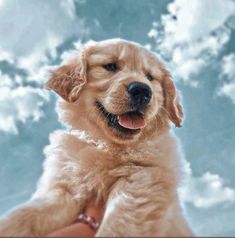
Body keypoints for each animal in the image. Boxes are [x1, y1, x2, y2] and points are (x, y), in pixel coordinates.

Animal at [0, 39, 194, 236]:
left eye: (150, 77)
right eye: (110, 66)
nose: (142, 90)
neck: (107, 145)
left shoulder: (143, 180)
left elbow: (118, 223)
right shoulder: (67, 189)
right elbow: (24, 216)